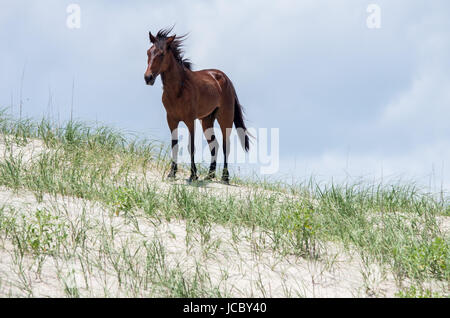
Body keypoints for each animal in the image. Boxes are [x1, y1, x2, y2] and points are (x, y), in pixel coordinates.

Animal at [144, 29, 250, 184]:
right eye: (148, 52)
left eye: (161, 54)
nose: (148, 78)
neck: (179, 89)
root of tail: (226, 79)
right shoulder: (171, 120)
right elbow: (175, 145)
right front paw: (172, 173)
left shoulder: (190, 120)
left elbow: (191, 147)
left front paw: (193, 175)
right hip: (206, 120)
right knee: (214, 145)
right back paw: (210, 175)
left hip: (225, 119)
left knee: (226, 146)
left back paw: (225, 177)